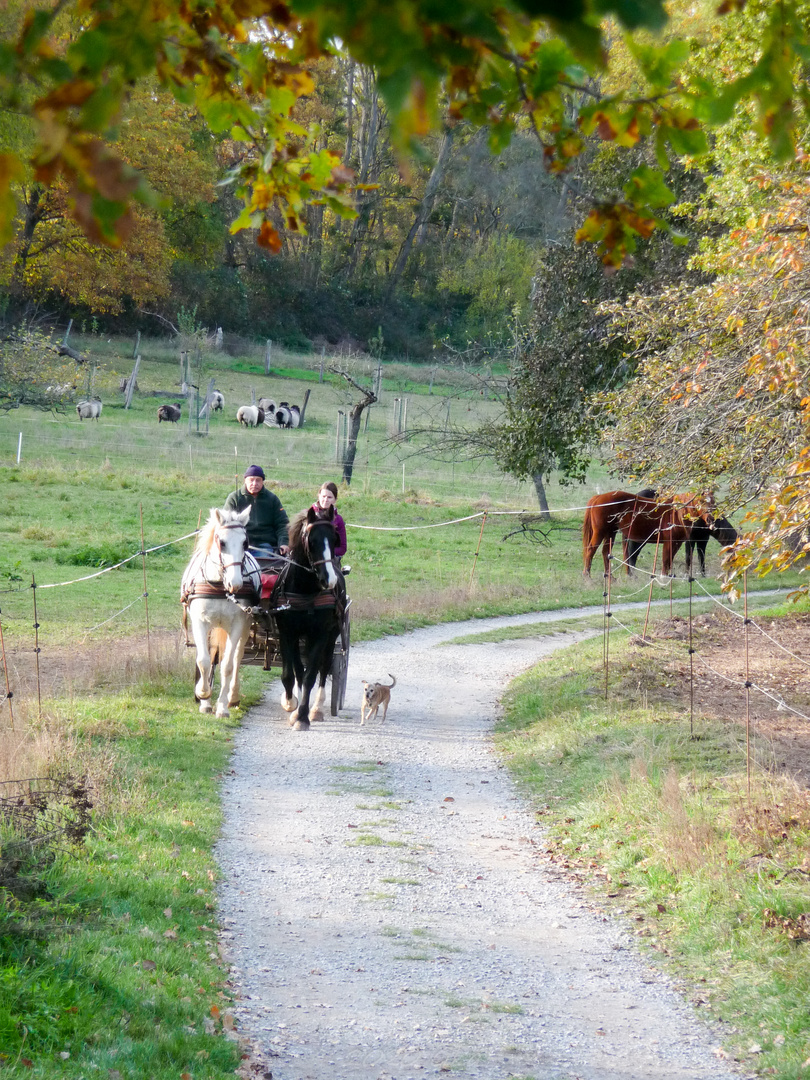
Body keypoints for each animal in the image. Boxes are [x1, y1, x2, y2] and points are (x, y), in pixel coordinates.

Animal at [180, 505, 260, 717]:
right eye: (221, 543)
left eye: (245, 543)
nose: (236, 584)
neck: (219, 586)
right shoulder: (200, 622)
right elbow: (204, 661)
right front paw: (203, 696)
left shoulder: (237, 625)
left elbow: (228, 666)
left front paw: (222, 707)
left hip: (244, 627)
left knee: (237, 656)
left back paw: (233, 697)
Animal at [273, 507, 343, 730]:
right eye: (312, 541)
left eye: (335, 539)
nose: (329, 580)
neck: (305, 591)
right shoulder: (288, 633)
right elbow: (293, 673)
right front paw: (291, 704)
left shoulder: (321, 635)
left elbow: (310, 675)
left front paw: (302, 717)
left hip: (332, 636)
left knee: (324, 666)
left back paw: (317, 708)